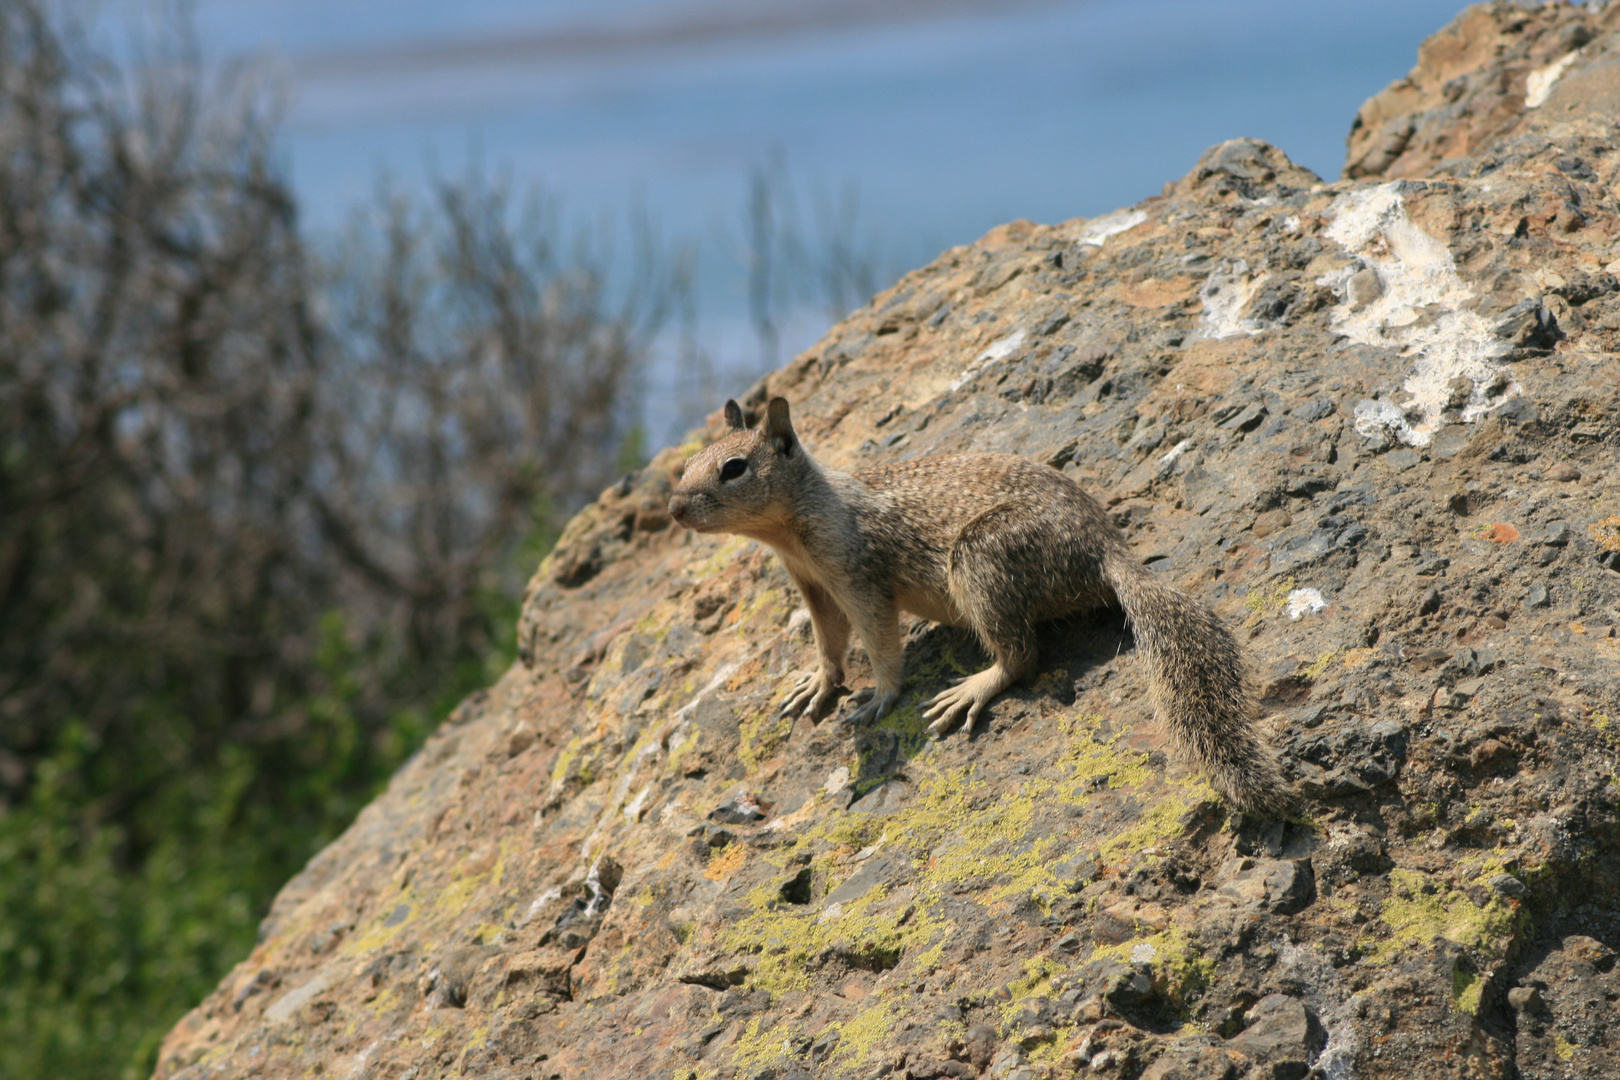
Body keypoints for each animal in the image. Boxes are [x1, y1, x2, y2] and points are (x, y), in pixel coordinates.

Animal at [667, 395, 1289, 809]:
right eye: (689, 462)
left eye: (734, 468)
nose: (673, 508)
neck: (793, 528)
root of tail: (1106, 552)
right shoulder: (813, 587)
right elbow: (828, 642)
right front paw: (818, 684)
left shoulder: (859, 578)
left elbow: (880, 643)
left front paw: (881, 696)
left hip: (981, 561)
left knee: (1023, 656)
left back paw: (972, 689)